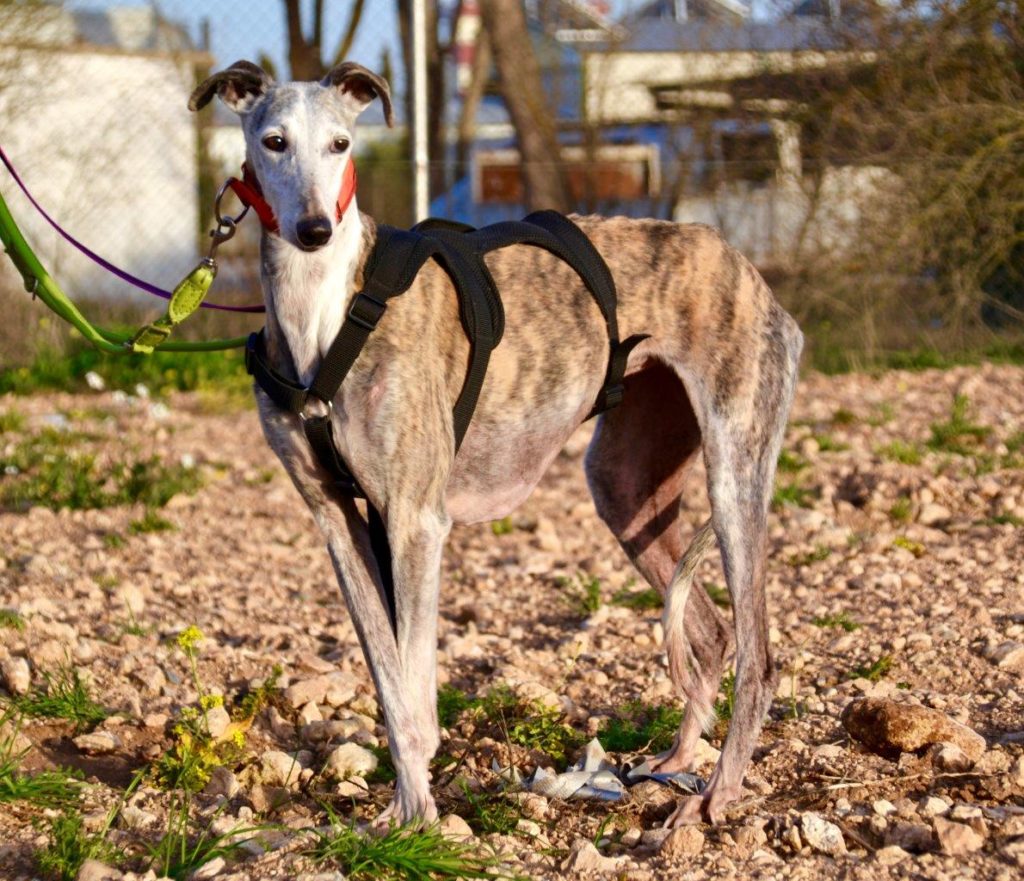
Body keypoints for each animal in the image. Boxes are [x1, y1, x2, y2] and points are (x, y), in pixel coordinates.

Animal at [188, 60, 802, 827]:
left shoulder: (416, 521)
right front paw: (406, 809)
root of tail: (746, 267)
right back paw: (681, 759)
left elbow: (413, 686)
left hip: (734, 474)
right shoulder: (338, 521)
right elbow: (389, 680)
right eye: (273, 141)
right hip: (626, 487)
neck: (328, 313)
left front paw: (418, 816)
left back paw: (718, 792)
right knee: (713, 634)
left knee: (760, 657)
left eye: (340, 144)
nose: (314, 228)